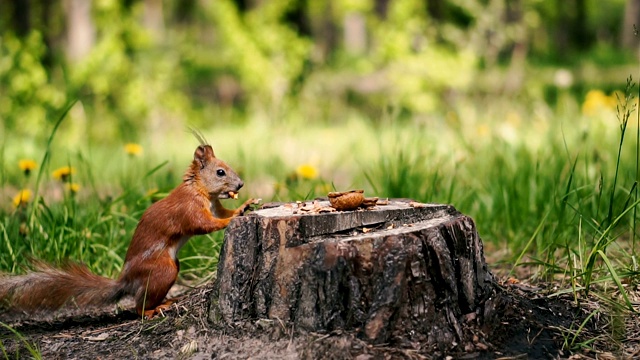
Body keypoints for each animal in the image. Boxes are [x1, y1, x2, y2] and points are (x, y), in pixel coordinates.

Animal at [2, 143, 258, 318]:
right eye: (220, 172)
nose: (241, 185)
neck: (201, 191)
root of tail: (127, 281)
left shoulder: (215, 207)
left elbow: (222, 214)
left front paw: (244, 205)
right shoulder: (189, 209)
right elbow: (205, 224)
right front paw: (233, 217)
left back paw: (167, 301)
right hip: (162, 269)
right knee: (138, 307)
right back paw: (153, 310)